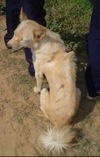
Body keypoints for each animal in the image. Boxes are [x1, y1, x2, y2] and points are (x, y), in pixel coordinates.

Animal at [7, 11, 81, 156]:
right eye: (14, 33)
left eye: (22, 40)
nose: (8, 46)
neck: (44, 42)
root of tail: (61, 125)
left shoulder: (38, 73)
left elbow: (38, 82)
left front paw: (36, 88)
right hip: (78, 91)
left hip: (46, 92)